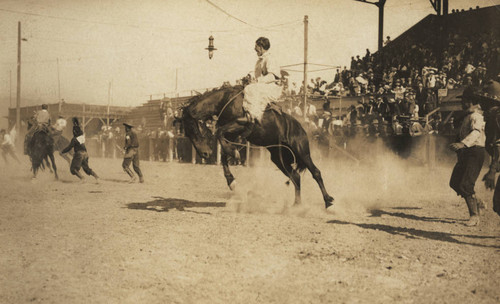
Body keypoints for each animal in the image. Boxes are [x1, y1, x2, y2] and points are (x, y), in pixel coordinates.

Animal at [182, 85, 334, 209]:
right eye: (187, 133)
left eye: (194, 129)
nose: (204, 154)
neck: (226, 101)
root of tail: (300, 128)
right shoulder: (231, 134)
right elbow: (223, 151)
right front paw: (231, 181)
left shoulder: (240, 125)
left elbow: (220, 134)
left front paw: (234, 154)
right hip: (279, 158)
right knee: (295, 176)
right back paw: (297, 205)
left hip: (302, 151)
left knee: (315, 172)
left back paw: (328, 200)